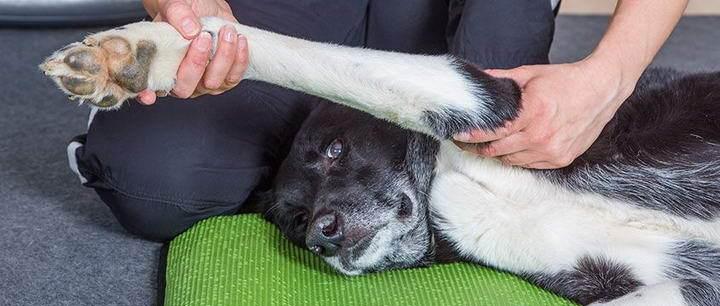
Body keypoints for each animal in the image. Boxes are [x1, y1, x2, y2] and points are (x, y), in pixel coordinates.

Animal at [40, 17, 720, 304]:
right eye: (293, 221)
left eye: (335, 151)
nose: (323, 236)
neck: (450, 186)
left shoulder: (495, 100)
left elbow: (321, 62)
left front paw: (150, 51)